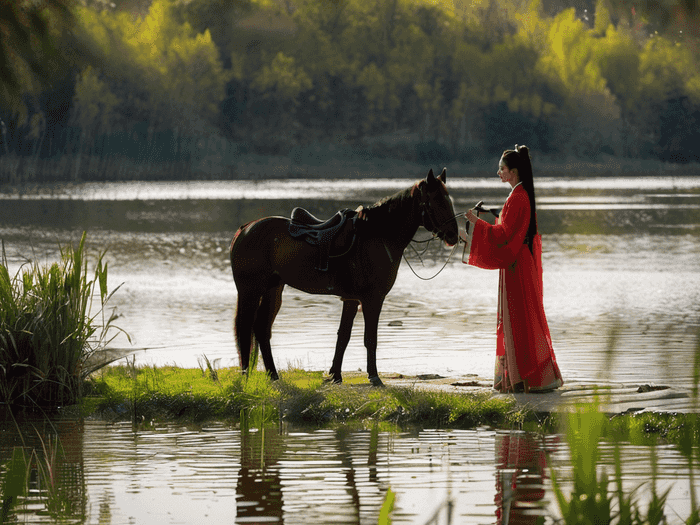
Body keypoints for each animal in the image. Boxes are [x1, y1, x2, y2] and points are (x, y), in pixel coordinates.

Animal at [228, 168, 460, 384]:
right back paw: (246, 376)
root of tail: (245, 229)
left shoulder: (351, 299)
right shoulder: (372, 299)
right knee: (245, 330)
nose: (453, 235)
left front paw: (335, 375)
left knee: (261, 329)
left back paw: (273, 375)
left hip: (273, 289)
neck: (377, 235)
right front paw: (374, 377)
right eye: (437, 200)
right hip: (250, 291)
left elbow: (343, 336)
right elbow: (370, 338)